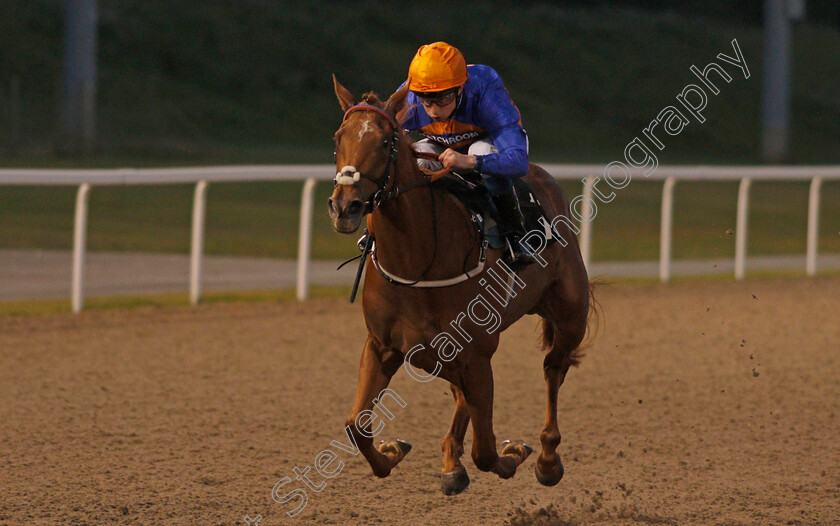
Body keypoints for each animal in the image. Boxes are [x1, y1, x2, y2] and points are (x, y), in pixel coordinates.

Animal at [328, 76, 592, 498]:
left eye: (385, 142)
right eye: (339, 138)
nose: (345, 207)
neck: (418, 264)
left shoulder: (478, 353)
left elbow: (486, 451)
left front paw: (515, 453)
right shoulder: (382, 346)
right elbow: (357, 427)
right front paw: (393, 450)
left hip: (569, 314)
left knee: (554, 368)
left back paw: (547, 458)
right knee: (461, 393)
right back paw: (451, 462)